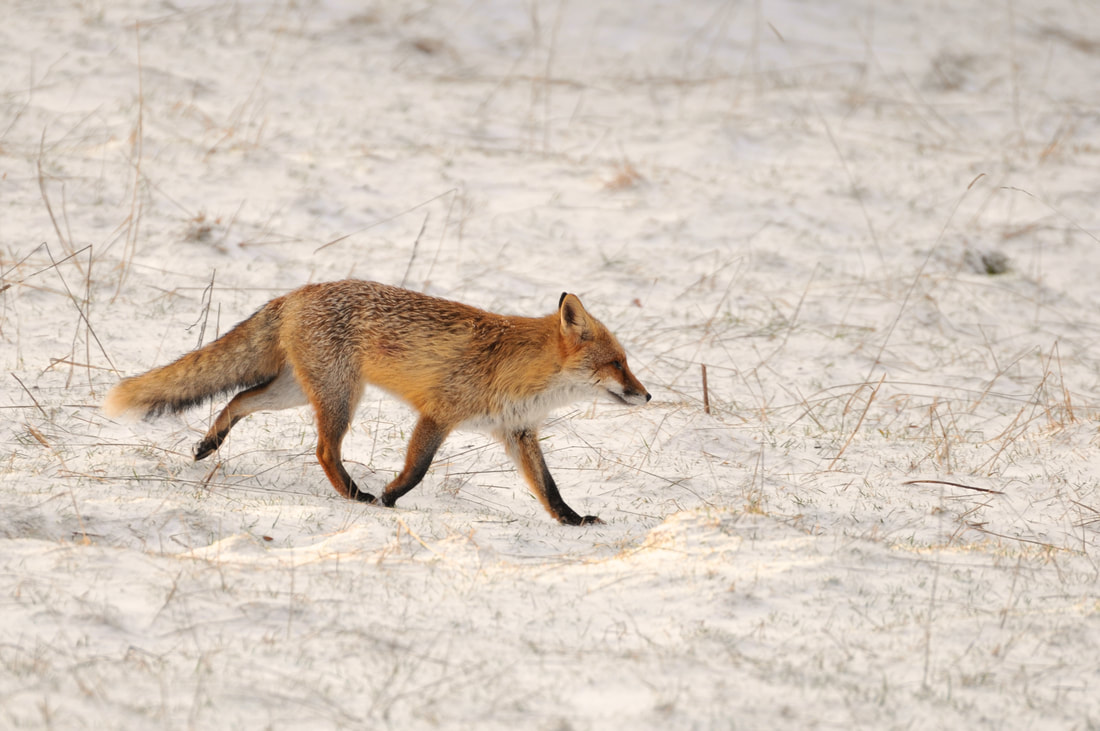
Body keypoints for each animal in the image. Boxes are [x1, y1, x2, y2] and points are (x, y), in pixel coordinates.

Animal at [103, 280, 651, 525]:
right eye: (617, 364)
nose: (647, 394)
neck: (520, 369)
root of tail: (296, 292)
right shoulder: (439, 413)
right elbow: (418, 469)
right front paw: (390, 496)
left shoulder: (516, 431)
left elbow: (548, 488)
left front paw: (573, 522)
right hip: (340, 397)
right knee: (324, 450)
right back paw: (356, 495)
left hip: (294, 393)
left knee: (238, 398)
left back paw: (209, 444)